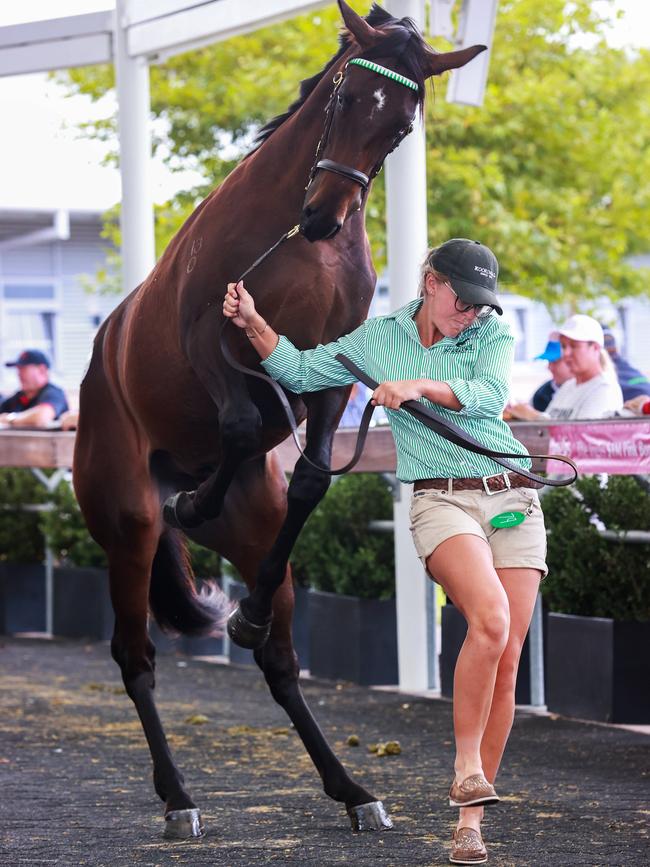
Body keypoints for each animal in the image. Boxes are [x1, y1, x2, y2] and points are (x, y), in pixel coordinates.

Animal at [73, 0, 484, 840]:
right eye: (345, 97)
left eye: (401, 126)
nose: (324, 216)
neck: (297, 248)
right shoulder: (207, 336)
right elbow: (239, 421)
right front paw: (192, 498)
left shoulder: (331, 376)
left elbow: (314, 473)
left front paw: (248, 611)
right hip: (125, 526)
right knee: (135, 656)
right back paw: (178, 795)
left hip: (257, 537)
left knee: (280, 662)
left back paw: (350, 785)